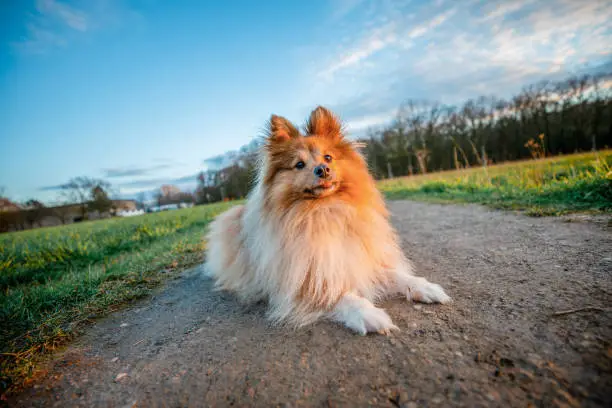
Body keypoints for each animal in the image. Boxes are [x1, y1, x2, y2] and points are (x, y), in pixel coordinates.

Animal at [204, 106, 450, 334]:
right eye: (299, 165)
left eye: (328, 157)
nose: (322, 169)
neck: (324, 210)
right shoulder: (303, 281)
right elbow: (340, 296)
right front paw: (368, 314)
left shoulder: (357, 260)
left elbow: (396, 275)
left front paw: (424, 287)